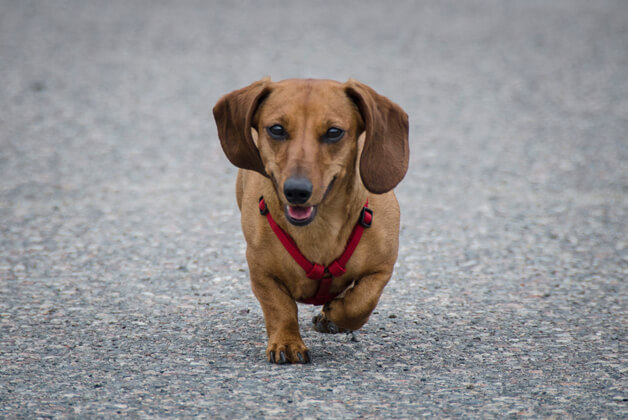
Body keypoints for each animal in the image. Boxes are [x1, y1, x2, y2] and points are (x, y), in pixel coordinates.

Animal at [213, 79, 410, 364]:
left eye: (334, 132)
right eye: (276, 129)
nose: (296, 191)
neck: (318, 230)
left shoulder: (382, 267)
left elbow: (361, 302)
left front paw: (334, 314)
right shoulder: (260, 272)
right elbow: (279, 307)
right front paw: (286, 342)